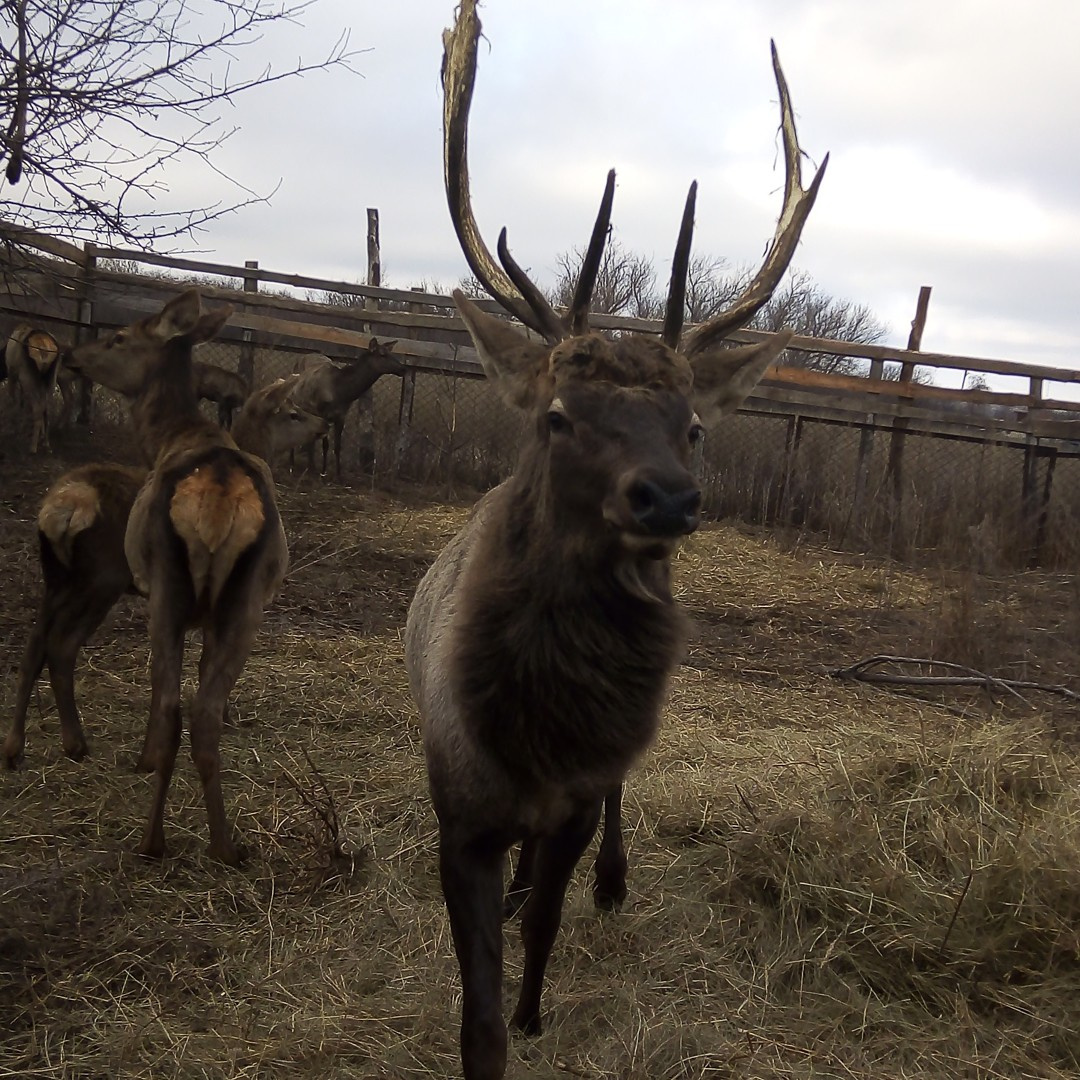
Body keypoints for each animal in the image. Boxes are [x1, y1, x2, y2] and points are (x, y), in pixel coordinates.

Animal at [2, 375, 326, 773]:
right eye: (294, 413)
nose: (323, 424)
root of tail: (61, 509)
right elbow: (206, 662)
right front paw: (226, 717)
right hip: (100, 578)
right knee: (61, 645)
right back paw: (75, 742)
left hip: (56, 577)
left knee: (35, 646)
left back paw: (18, 748)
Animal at [5, 321, 62, 453]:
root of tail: (45, 349)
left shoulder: (12, 372)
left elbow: (14, 398)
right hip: (50, 380)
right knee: (46, 408)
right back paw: (46, 443)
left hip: (28, 377)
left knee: (37, 408)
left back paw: (32, 447)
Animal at [59, 291, 291, 864]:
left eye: (119, 338)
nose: (72, 354)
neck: (166, 438)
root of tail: (218, 497)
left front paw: (143, 761)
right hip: (244, 603)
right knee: (205, 712)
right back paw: (225, 844)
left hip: (167, 589)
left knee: (171, 707)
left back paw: (152, 840)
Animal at [289, 341, 403, 481]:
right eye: (382, 354)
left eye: (391, 353)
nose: (403, 369)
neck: (342, 392)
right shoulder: (325, 414)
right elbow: (325, 445)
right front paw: (323, 473)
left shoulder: (341, 416)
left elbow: (338, 446)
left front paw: (338, 475)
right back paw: (293, 464)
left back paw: (310, 466)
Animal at [406, 4, 825, 1075]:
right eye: (558, 414)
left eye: (695, 423)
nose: (668, 498)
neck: (537, 738)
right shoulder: (458, 806)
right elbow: (474, 1002)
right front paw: (496, 1025)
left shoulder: (580, 795)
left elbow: (543, 928)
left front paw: (535, 1011)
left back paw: (614, 880)